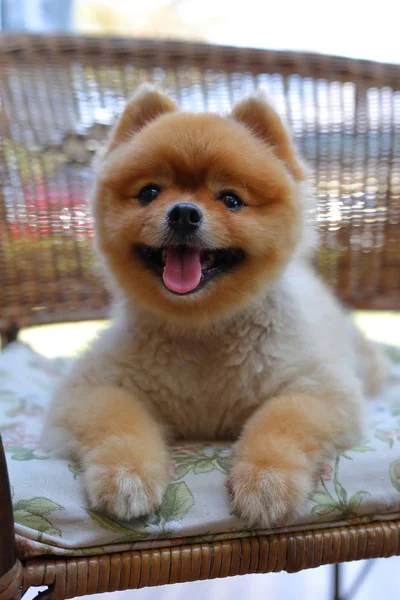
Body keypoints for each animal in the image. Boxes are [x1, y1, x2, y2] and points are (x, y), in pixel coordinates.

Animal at [44, 84, 388, 524]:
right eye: (149, 192)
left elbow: (282, 420)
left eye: (231, 199)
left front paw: (267, 481)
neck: (202, 330)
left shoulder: (319, 389)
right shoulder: (91, 387)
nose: (184, 213)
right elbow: (117, 419)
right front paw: (126, 475)